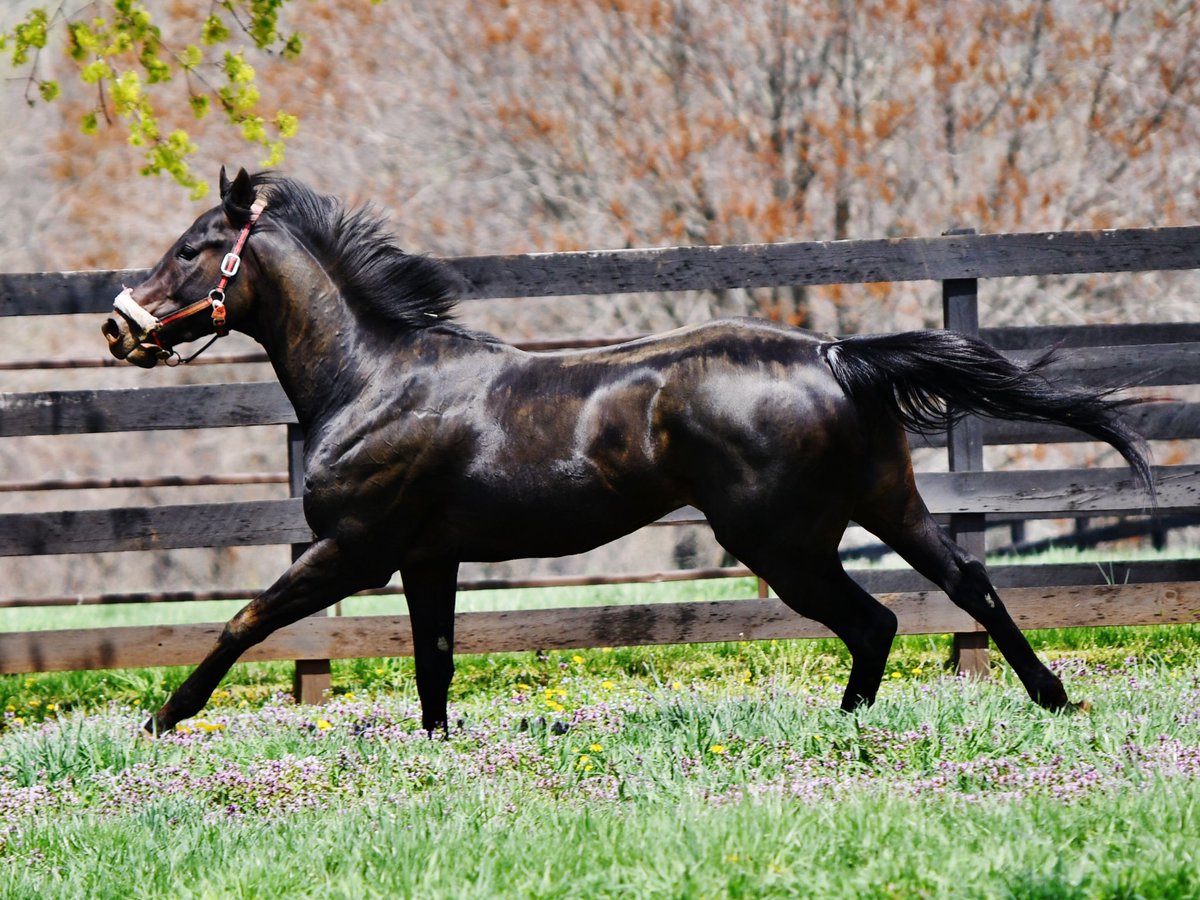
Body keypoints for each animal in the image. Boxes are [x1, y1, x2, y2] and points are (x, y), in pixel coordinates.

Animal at [102, 168, 1154, 736]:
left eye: (194, 248)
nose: (118, 327)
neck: (374, 380)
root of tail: (831, 354)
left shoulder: (353, 549)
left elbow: (247, 619)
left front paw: (162, 719)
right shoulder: (427, 558)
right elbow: (434, 666)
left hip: (784, 543)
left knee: (876, 621)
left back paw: (852, 726)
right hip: (886, 503)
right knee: (963, 584)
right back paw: (1051, 699)